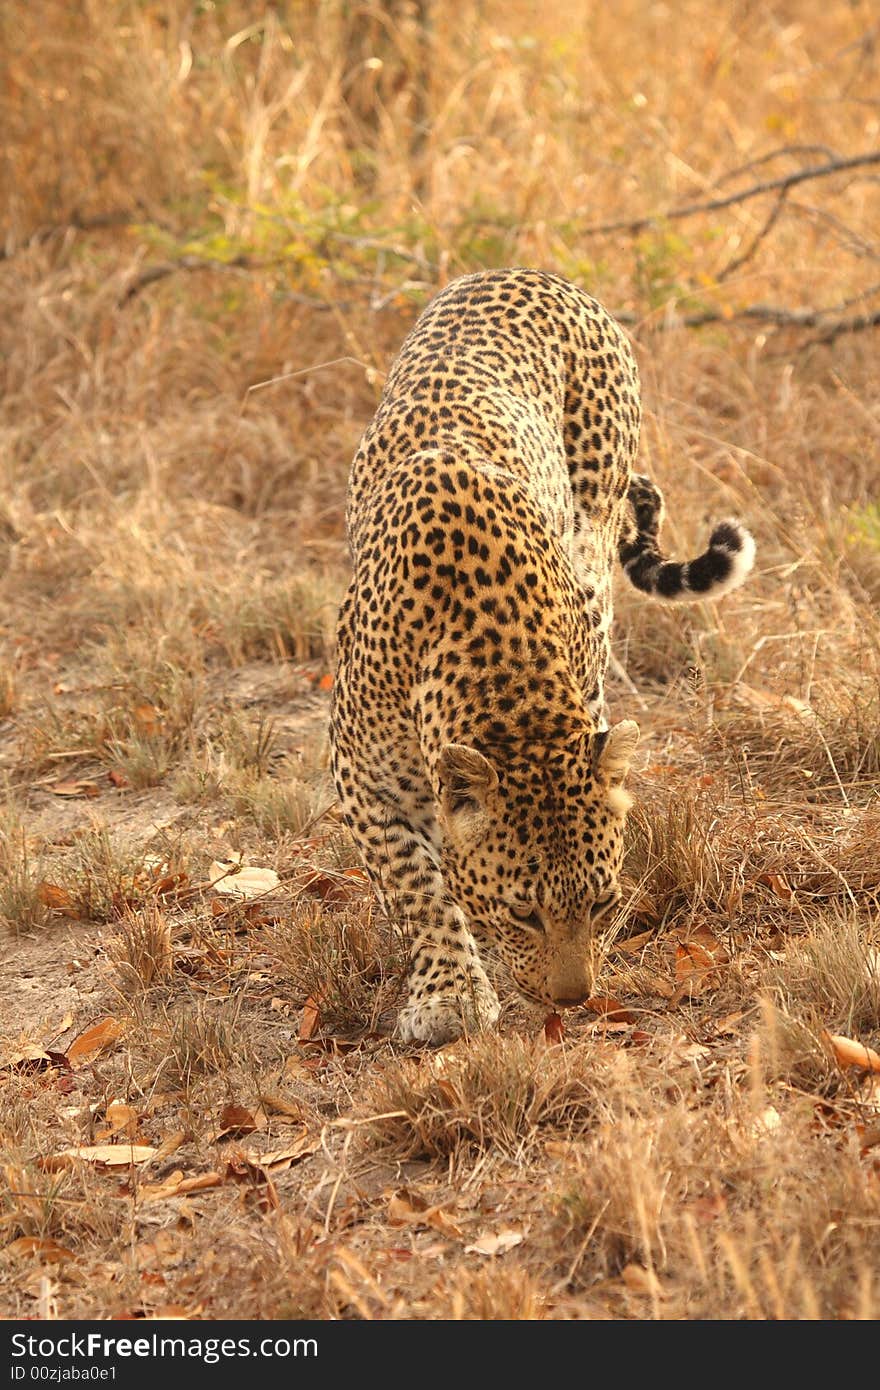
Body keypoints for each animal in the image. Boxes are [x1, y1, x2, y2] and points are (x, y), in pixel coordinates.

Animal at [326, 268, 750, 1045]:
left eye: (604, 903)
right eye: (522, 913)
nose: (574, 999)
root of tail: (532, 273)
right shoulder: (362, 772)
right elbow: (414, 883)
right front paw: (450, 995)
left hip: (596, 535)